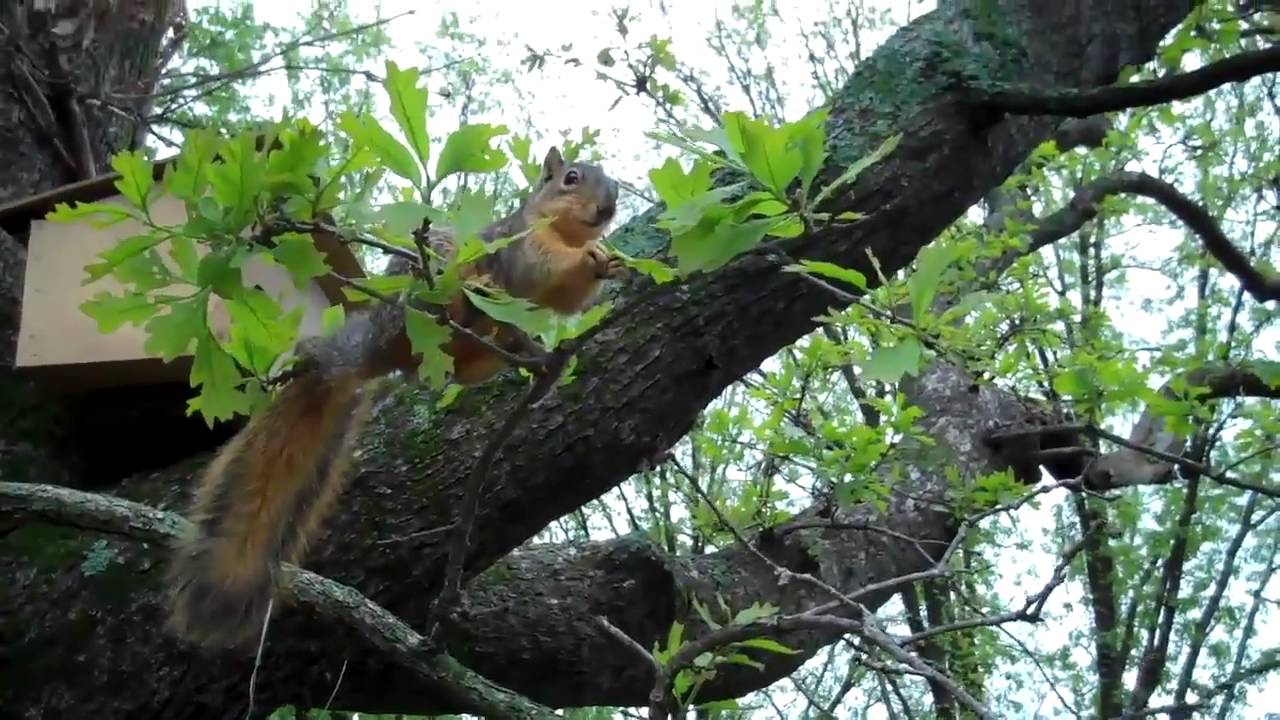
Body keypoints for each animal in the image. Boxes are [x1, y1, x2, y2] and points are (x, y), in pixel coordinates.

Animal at [166, 146, 623, 649]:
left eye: (617, 185)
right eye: (571, 178)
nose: (607, 209)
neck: (563, 230)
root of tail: (371, 352)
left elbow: (567, 300)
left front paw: (607, 262)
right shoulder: (522, 247)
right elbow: (546, 267)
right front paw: (589, 257)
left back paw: (532, 358)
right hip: (425, 285)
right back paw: (472, 296)